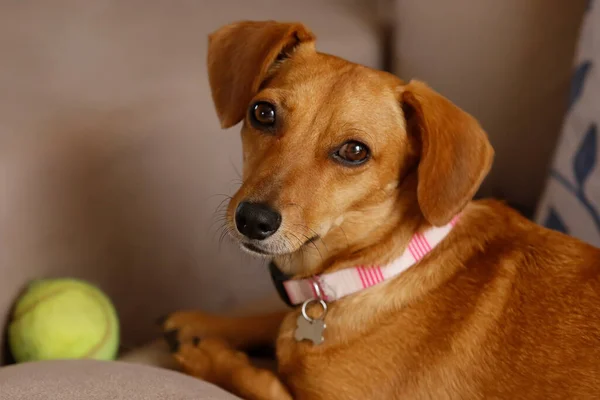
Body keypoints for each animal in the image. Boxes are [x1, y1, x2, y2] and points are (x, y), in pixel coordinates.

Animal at [159, 22, 600, 400]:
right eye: (262, 113)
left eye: (355, 151)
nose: (252, 220)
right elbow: (269, 318)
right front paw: (203, 324)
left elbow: (261, 382)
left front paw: (208, 356)